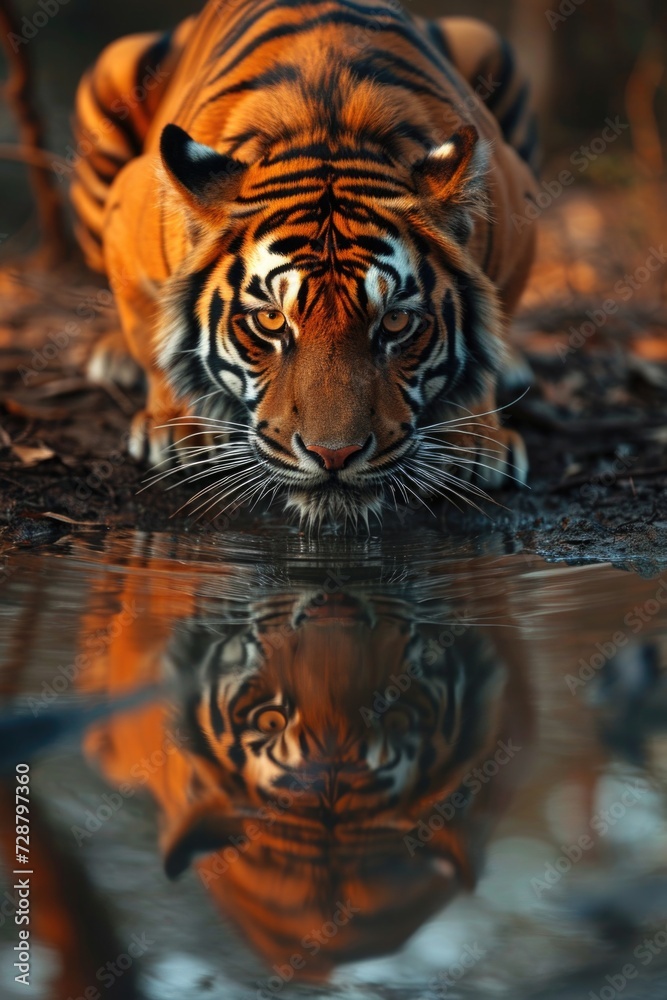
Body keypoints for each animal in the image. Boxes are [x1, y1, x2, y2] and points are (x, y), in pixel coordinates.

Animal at [71, 0, 539, 527]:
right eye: (272, 321)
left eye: (396, 322)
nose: (334, 455)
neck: (327, 128)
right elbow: (152, 334)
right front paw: (180, 431)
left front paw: (475, 442)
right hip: (115, 66)